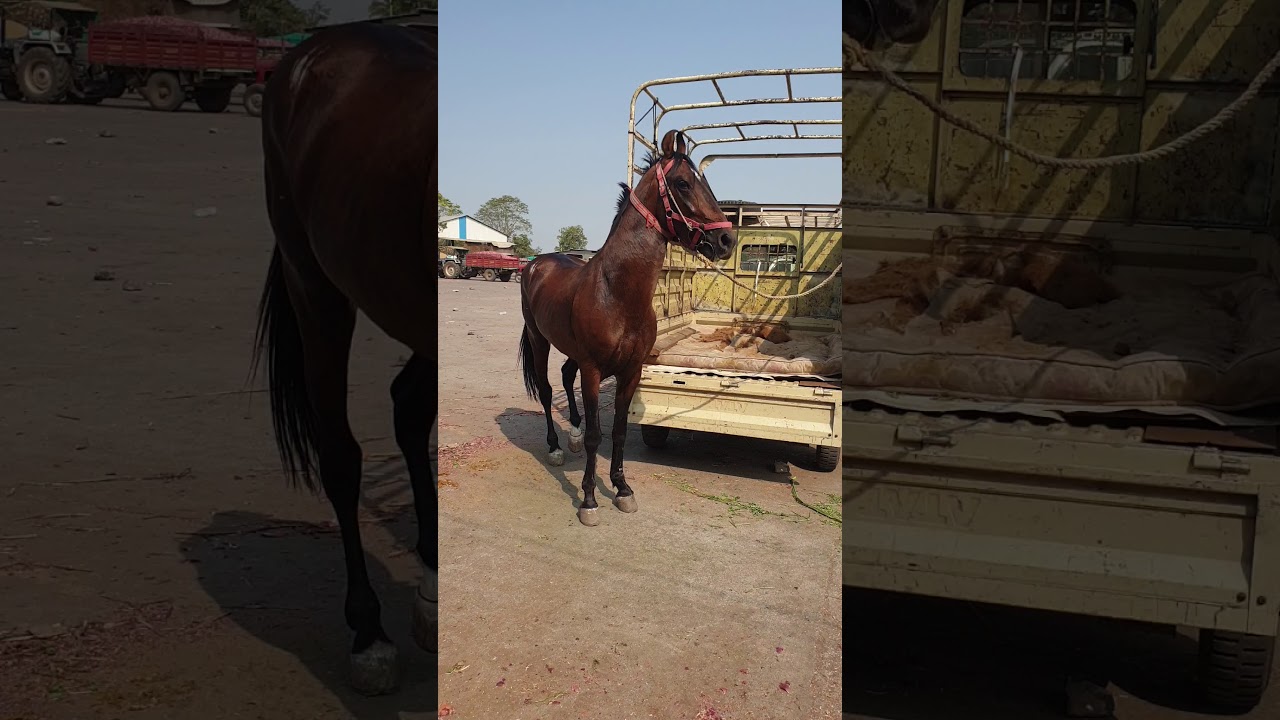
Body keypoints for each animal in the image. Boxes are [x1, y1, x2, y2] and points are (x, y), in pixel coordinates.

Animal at [518, 129, 736, 527]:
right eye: (683, 183)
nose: (727, 240)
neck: (617, 293)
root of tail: (536, 263)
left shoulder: (630, 371)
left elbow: (618, 431)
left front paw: (622, 489)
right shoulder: (593, 370)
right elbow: (596, 435)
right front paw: (589, 500)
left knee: (565, 375)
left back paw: (571, 434)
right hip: (539, 339)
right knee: (545, 389)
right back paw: (556, 447)